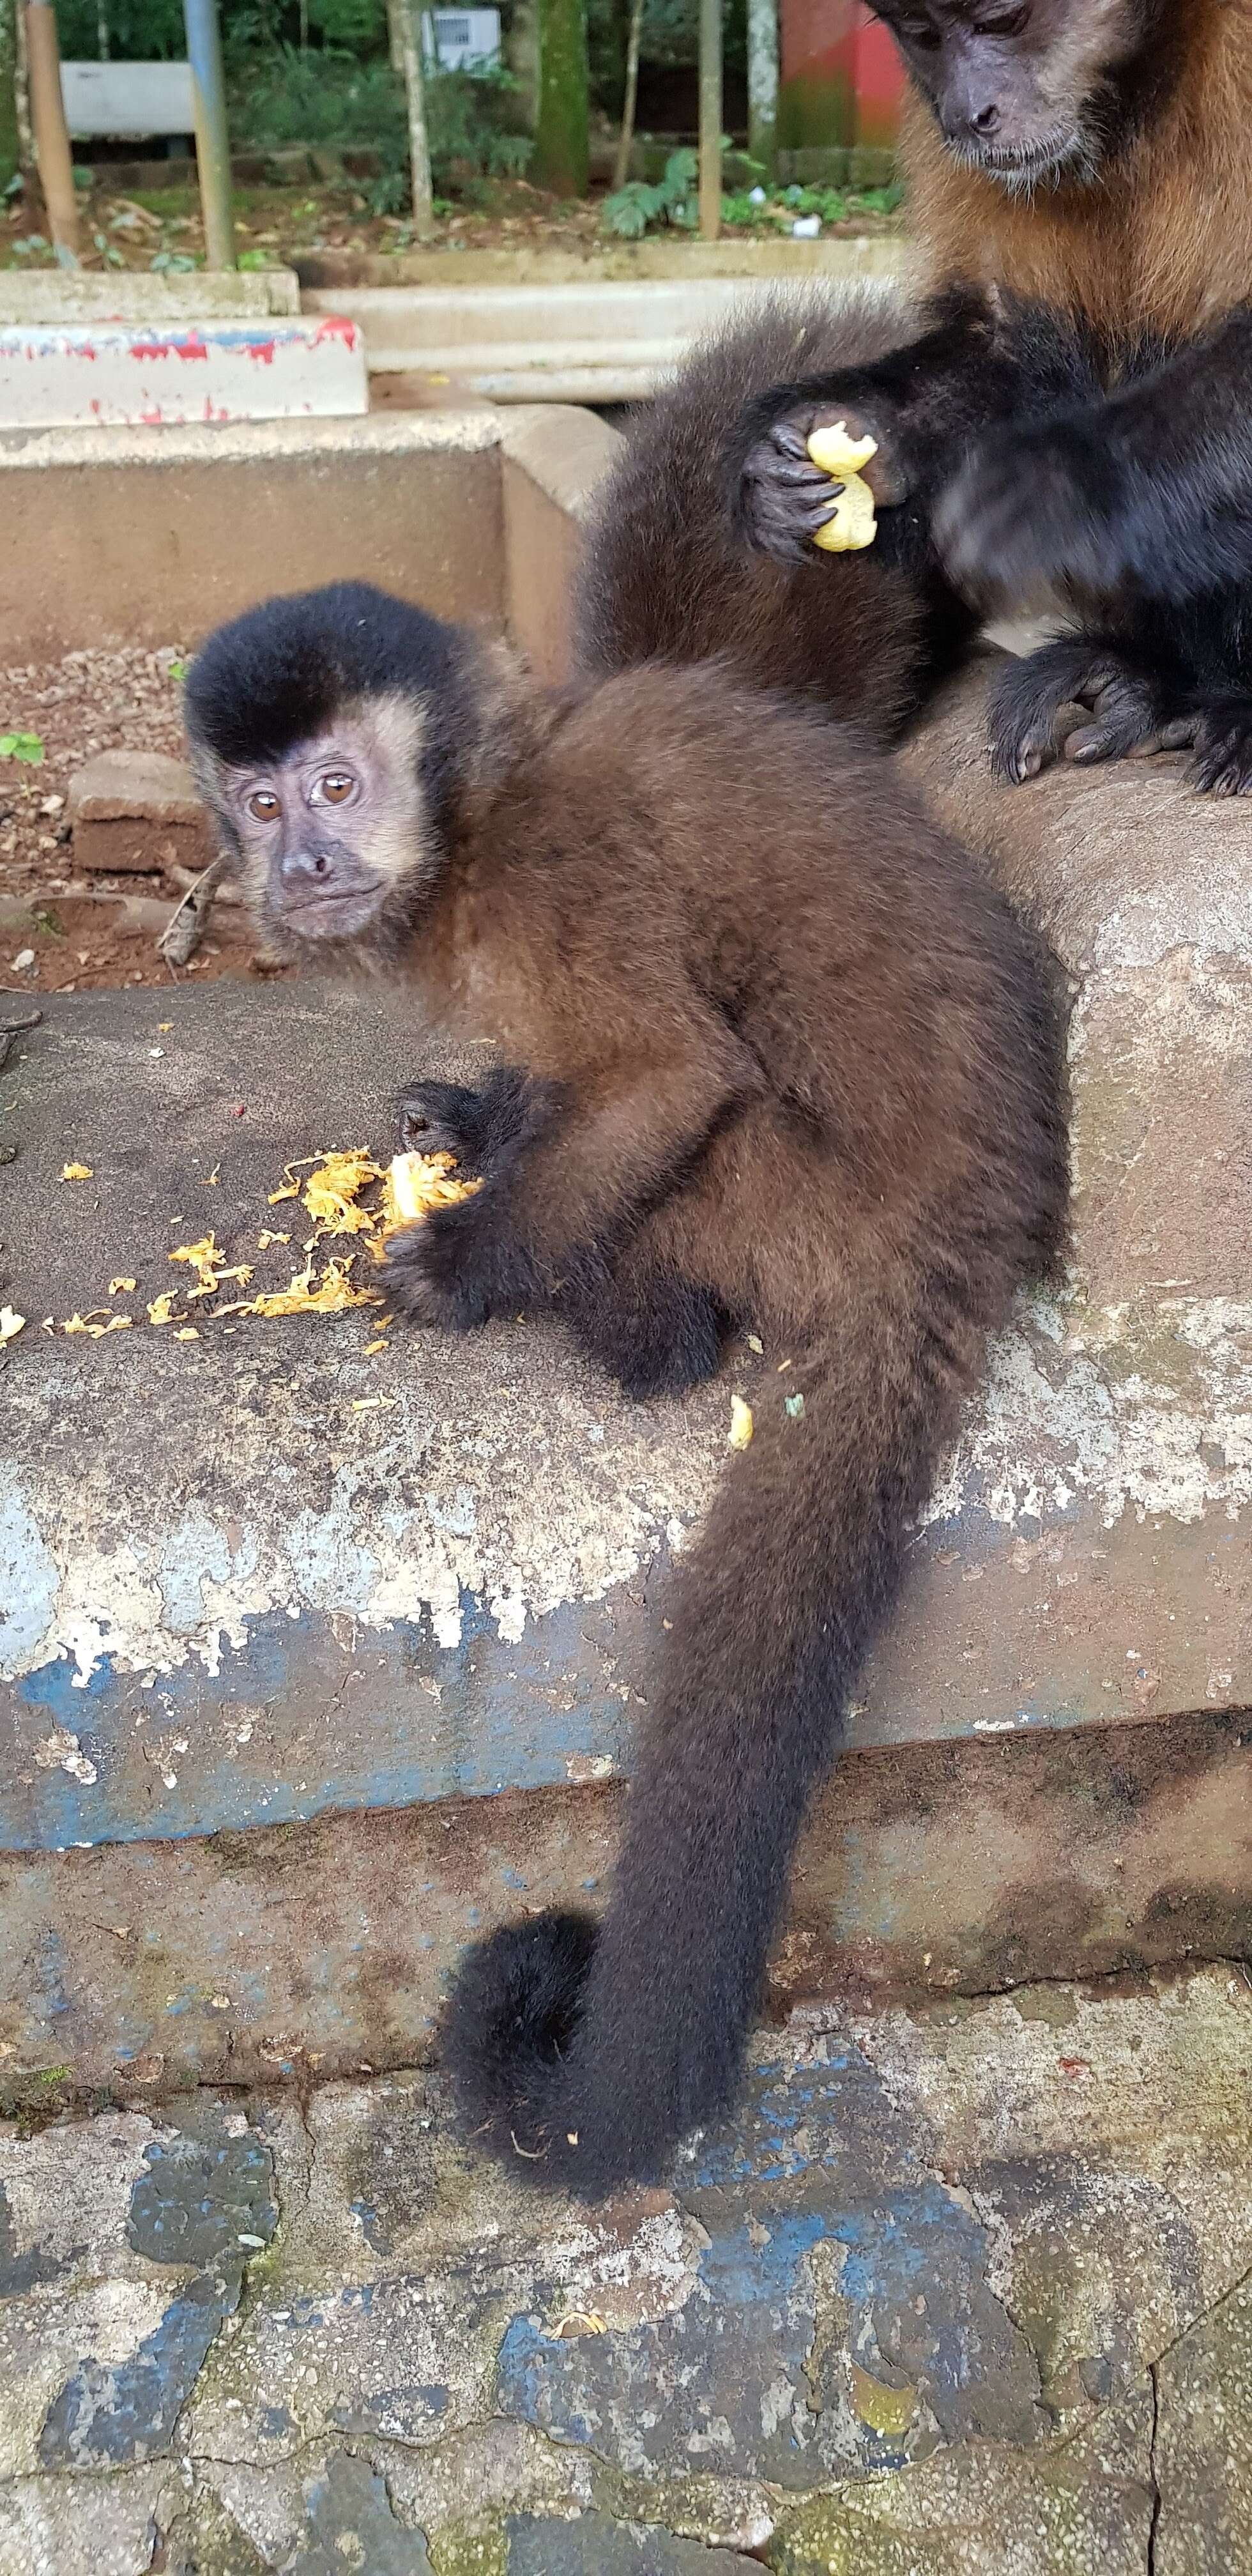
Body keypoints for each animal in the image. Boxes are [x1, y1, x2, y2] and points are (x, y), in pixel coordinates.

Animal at [185, 585, 1066, 2195]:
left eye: (337, 787)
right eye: (262, 804)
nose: (303, 864)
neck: (478, 821)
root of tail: (960, 1250)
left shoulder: (556, 885)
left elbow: (664, 1078)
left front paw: (466, 1263)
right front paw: (475, 1122)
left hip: (803, 1214)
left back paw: (630, 1323)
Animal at [582, 0, 1252, 793]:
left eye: (1004, 23)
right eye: (926, 38)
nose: (969, 113)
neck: (1146, 90)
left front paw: (1053, 489)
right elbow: (1009, 347)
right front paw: (795, 453)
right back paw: (1146, 681)